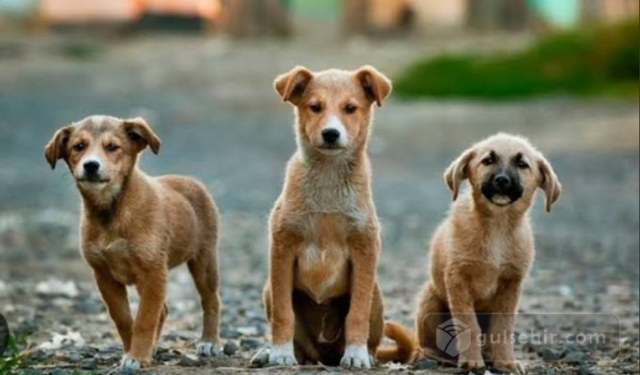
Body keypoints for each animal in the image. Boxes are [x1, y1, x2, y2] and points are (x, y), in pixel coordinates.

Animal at [43, 116, 221, 372]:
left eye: (112, 147)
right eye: (78, 146)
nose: (91, 165)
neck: (111, 212)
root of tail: (191, 180)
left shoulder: (153, 271)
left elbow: (145, 319)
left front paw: (137, 356)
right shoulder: (104, 275)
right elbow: (124, 318)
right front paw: (132, 351)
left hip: (203, 260)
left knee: (210, 300)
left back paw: (209, 342)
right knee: (163, 310)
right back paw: (154, 347)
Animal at [252, 65, 418, 370]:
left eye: (350, 108)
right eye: (315, 107)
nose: (330, 133)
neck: (328, 181)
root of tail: (323, 355)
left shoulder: (365, 249)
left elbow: (357, 313)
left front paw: (356, 354)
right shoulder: (282, 248)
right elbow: (283, 312)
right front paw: (279, 353)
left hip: (377, 294)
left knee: (370, 335)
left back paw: (365, 354)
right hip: (269, 289)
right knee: (300, 344)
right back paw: (272, 353)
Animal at [416, 134, 560, 374]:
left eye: (522, 164)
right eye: (488, 160)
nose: (502, 180)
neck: (497, 228)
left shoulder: (511, 284)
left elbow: (502, 327)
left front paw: (505, 362)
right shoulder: (457, 279)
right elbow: (468, 325)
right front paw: (472, 361)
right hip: (430, 299)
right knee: (427, 346)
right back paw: (447, 358)